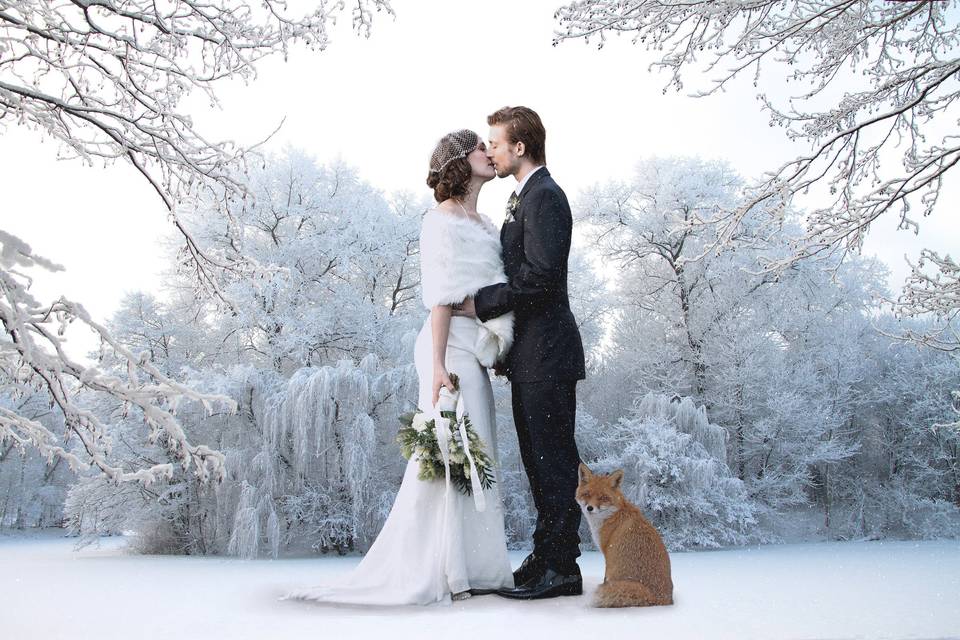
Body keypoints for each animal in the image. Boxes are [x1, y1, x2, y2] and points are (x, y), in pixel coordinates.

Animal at [576, 462, 676, 608]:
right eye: (587, 494)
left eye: (603, 497)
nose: (590, 508)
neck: (613, 515)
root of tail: (660, 599)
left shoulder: (608, 555)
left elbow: (604, 578)